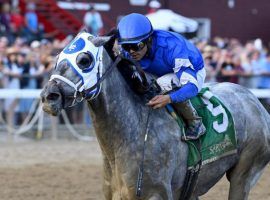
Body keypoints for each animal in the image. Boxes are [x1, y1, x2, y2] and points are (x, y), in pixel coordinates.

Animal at [40, 32, 270, 199]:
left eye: (84, 59)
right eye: (57, 58)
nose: (48, 96)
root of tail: (256, 102)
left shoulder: (155, 194)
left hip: (245, 173)